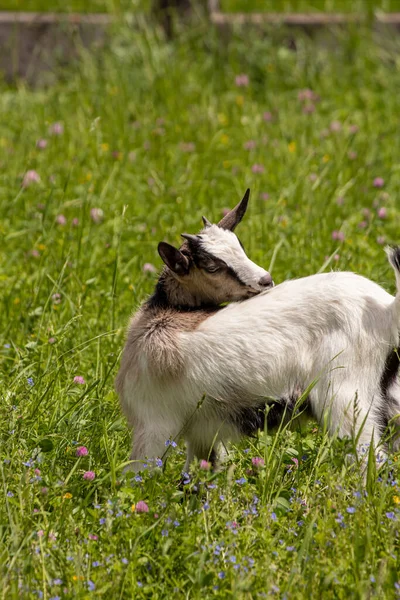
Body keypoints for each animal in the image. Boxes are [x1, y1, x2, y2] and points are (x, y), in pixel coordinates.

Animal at [115, 190, 400, 472]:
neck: (161, 317)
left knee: (370, 458)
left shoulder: (153, 423)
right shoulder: (204, 434)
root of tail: (387, 309)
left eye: (240, 246)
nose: (265, 280)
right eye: (211, 266)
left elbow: (137, 476)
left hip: (345, 397)